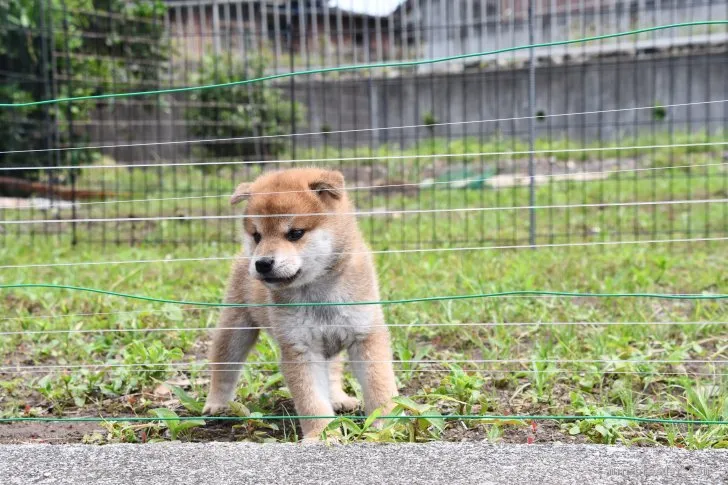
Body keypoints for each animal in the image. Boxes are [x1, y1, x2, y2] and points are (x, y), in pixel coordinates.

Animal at [202, 166, 398, 438]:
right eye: (257, 235)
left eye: (295, 233)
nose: (262, 263)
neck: (319, 292)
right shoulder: (299, 347)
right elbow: (312, 401)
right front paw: (322, 435)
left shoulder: (365, 335)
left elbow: (379, 386)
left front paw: (385, 426)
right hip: (236, 326)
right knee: (224, 367)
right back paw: (217, 404)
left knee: (332, 372)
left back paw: (338, 399)